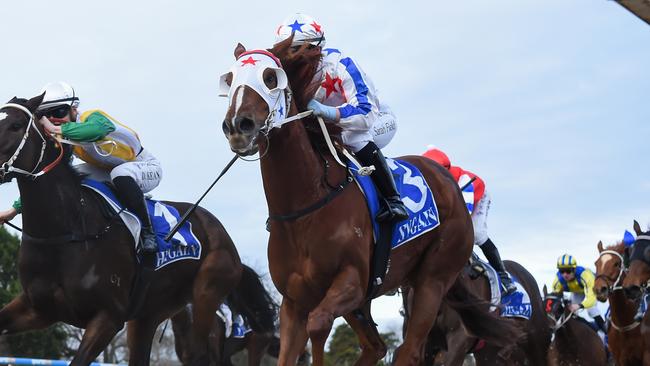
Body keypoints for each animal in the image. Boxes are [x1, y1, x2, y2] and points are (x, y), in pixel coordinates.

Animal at [0, 96, 242, 364]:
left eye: (16, 125)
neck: (66, 232)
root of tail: (216, 226)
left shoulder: (109, 317)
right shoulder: (38, 308)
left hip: (207, 295)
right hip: (148, 315)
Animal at [220, 38, 520, 364]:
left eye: (270, 78)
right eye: (230, 80)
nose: (238, 125)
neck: (305, 207)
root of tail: (448, 180)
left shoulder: (352, 281)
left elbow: (318, 325)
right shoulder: (293, 301)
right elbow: (292, 349)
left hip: (433, 280)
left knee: (410, 350)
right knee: (377, 347)